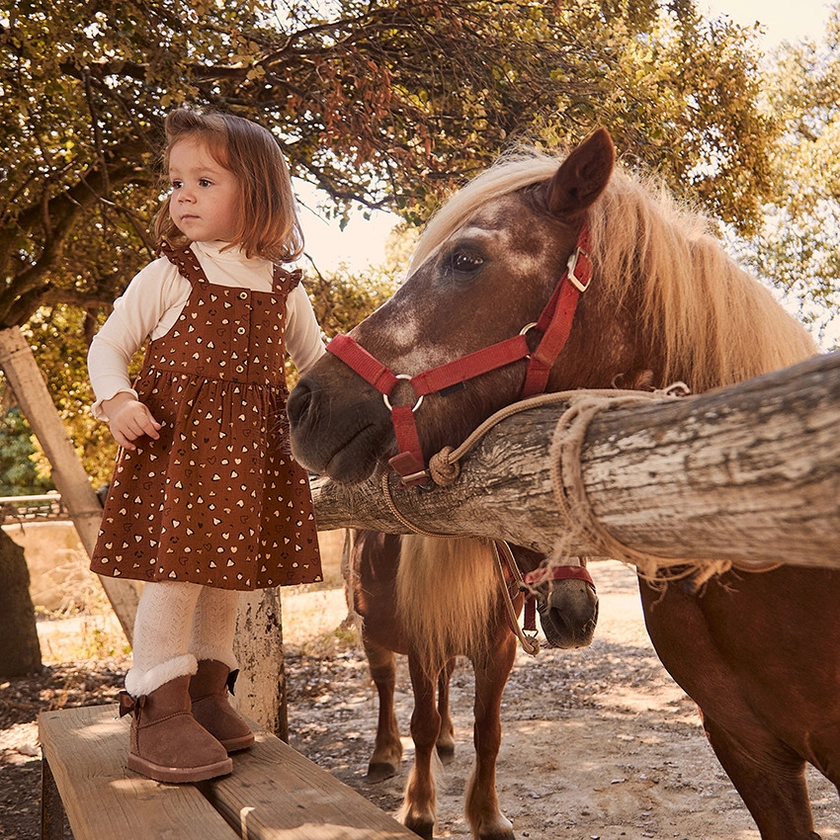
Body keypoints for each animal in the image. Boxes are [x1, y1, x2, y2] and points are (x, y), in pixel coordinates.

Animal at [348, 532, 596, 840]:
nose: (578, 616)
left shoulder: (498, 653)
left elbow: (489, 734)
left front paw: (490, 819)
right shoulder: (423, 648)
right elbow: (424, 727)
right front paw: (419, 814)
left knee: (445, 677)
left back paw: (444, 740)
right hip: (371, 635)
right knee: (386, 681)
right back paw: (384, 753)